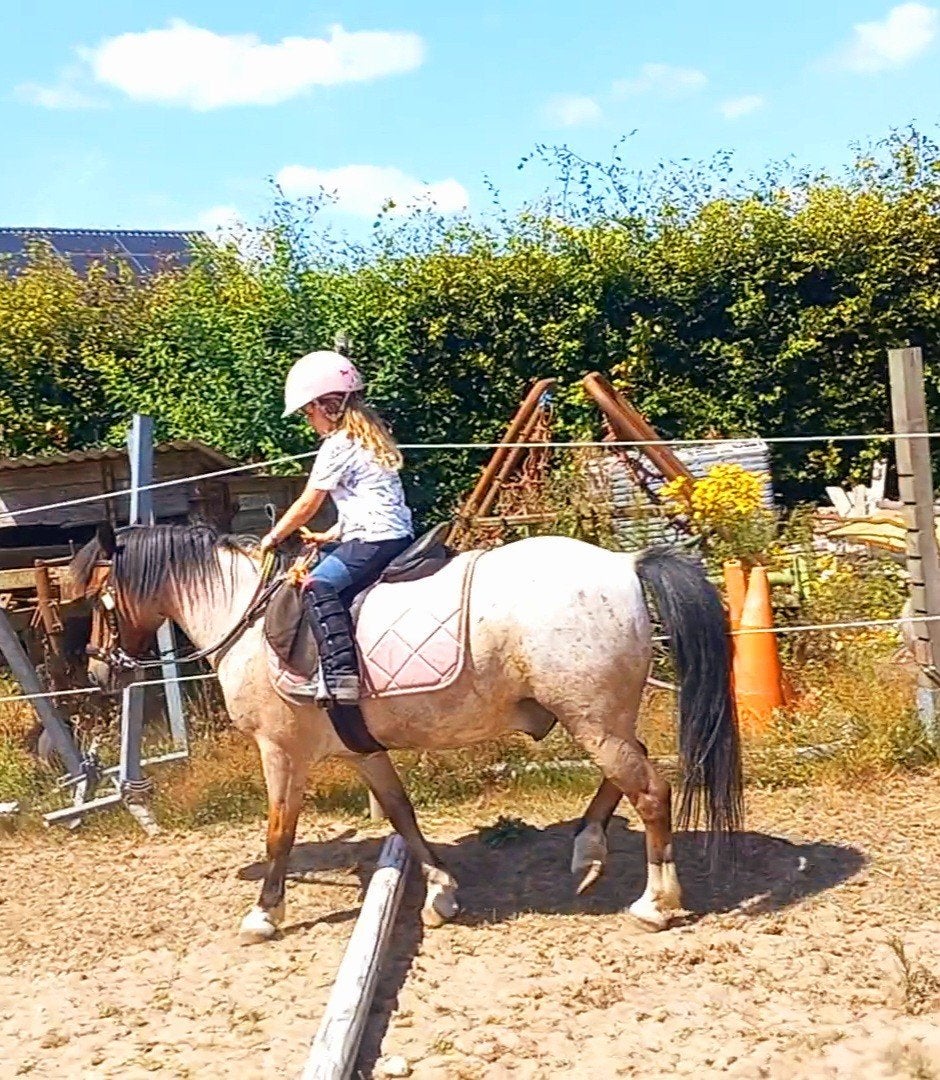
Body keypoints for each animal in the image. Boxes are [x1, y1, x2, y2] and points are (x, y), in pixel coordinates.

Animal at [70, 522, 742, 943]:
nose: (100, 672)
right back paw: (588, 849)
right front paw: (441, 892)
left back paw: (655, 903)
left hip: (592, 719)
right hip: (601, 718)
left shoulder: (281, 750)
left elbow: (279, 831)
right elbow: (401, 813)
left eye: (101, 600)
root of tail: (624, 564)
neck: (248, 617)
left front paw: (264, 914)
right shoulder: (361, 751)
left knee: (650, 791)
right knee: (630, 775)